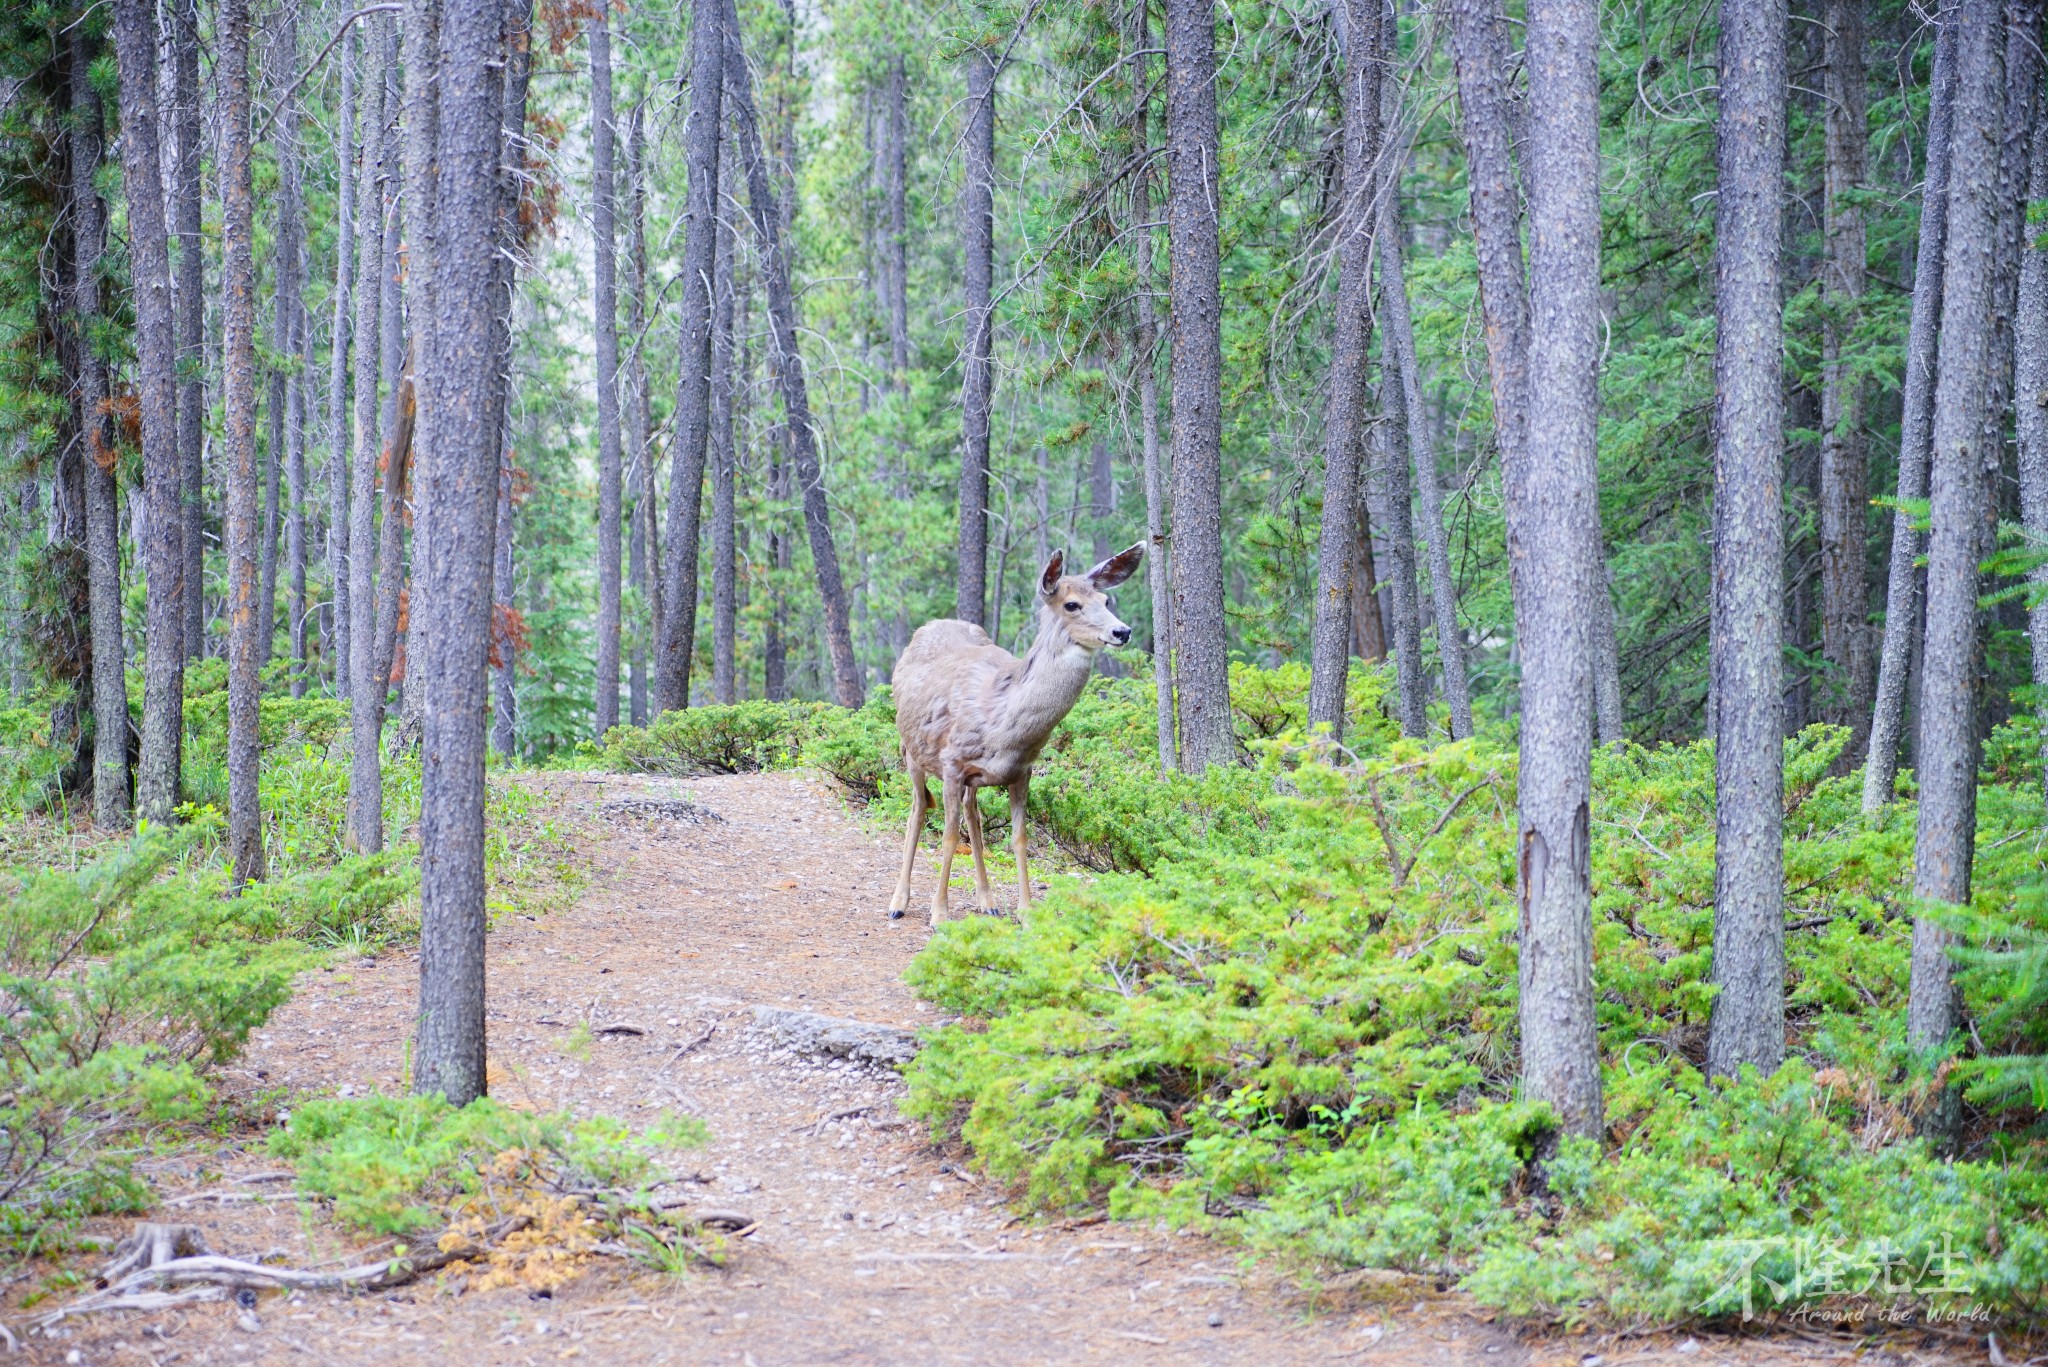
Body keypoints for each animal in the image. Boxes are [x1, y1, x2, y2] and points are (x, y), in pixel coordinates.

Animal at [892, 541, 1155, 926]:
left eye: (1107, 600)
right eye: (1071, 604)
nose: (1122, 631)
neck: (1002, 724)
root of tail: (928, 626)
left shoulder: (1021, 771)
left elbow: (1019, 838)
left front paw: (1027, 911)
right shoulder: (952, 763)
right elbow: (949, 836)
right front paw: (939, 915)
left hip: (971, 778)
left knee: (972, 814)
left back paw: (987, 900)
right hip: (911, 749)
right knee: (918, 808)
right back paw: (899, 901)